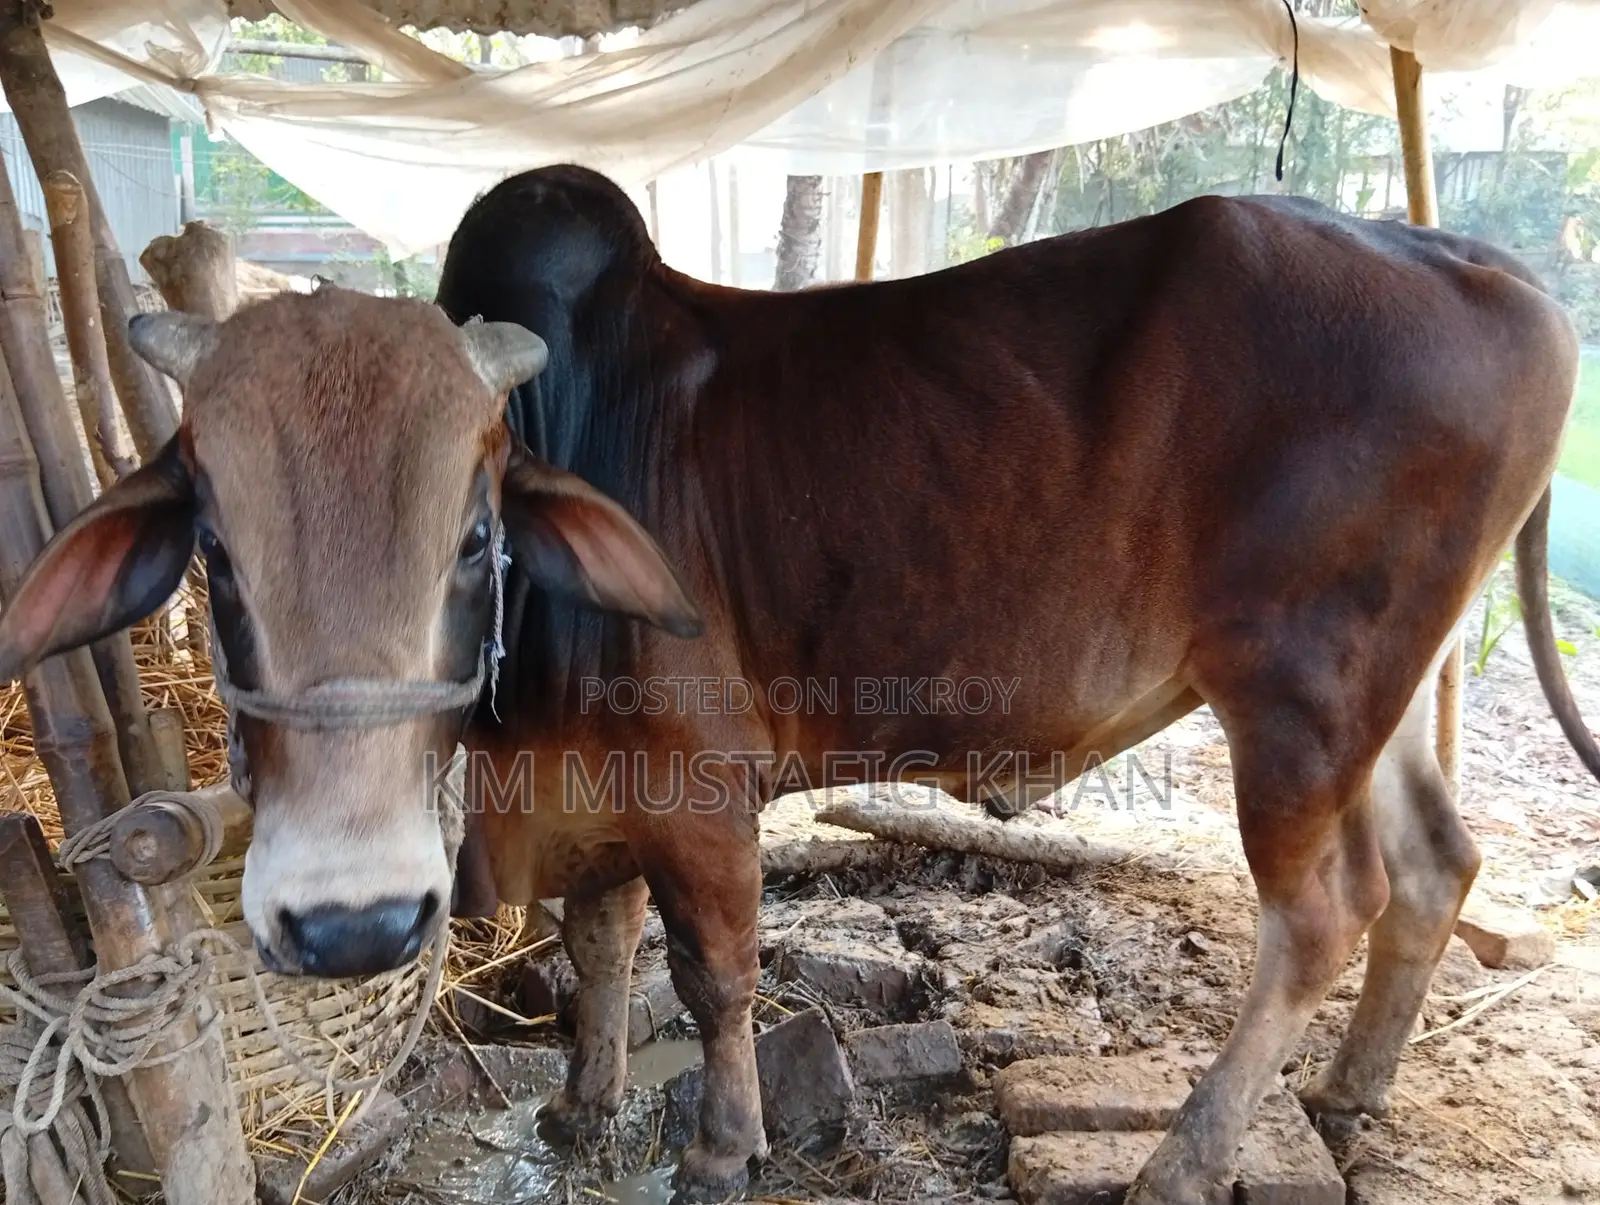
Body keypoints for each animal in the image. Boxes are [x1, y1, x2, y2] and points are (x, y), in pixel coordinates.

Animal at [0, 164, 1595, 1205]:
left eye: (473, 533)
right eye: (213, 549)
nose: (349, 921)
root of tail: (1491, 269)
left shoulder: (703, 788)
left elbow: (711, 972)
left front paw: (721, 1143)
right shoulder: (591, 785)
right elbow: (594, 943)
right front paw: (582, 1108)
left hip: (1298, 691)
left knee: (1322, 911)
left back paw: (1187, 1157)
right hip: (1383, 691)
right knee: (1436, 862)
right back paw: (1349, 1088)